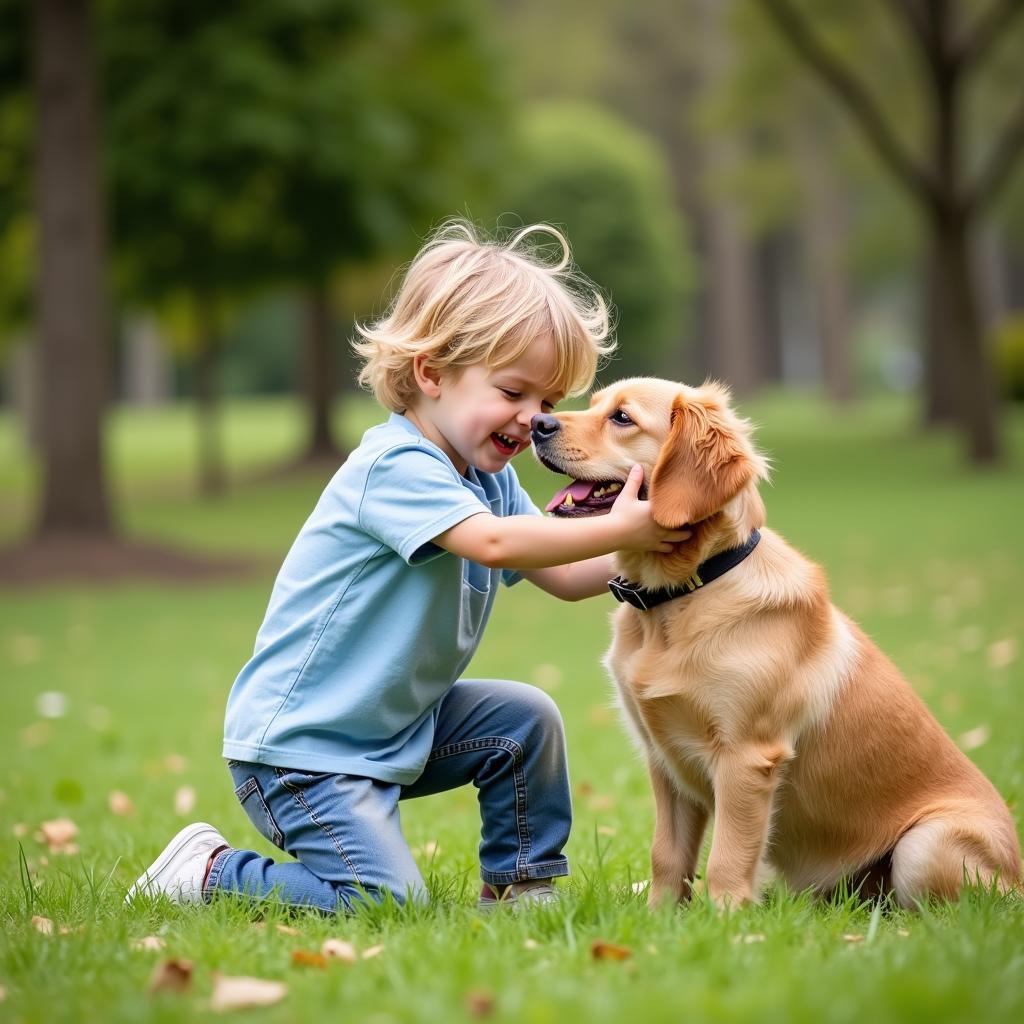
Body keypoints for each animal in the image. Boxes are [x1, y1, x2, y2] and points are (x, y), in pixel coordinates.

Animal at [532, 380, 1019, 909]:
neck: (683, 594)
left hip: (923, 846)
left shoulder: (747, 756)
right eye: (594, 404)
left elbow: (726, 858)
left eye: (622, 418)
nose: (537, 424)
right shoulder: (663, 758)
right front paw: (660, 917)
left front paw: (727, 921)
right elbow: (667, 857)